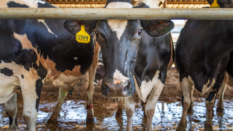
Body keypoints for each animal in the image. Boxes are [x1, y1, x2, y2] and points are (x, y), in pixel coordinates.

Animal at [0, 0, 99, 130]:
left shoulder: (32, 76)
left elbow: (29, 116)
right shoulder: (11, 79)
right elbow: (11, 111)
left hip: (94, 61)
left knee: (90, 90)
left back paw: (90, 117)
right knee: (63, 91)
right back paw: (53, 118)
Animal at [64, 0, 174, 130]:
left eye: (139, 31)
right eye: (97, 33)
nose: (115, 86)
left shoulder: (162, 75)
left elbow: (150, 109)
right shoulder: (128, 82)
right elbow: (130, 109)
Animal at [176, 0, 233, 130]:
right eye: (228, 3)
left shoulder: (220, 74)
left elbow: (209, 102)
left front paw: (209, 124)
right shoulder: (183, 73)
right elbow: (186, 101)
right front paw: (181, 125)